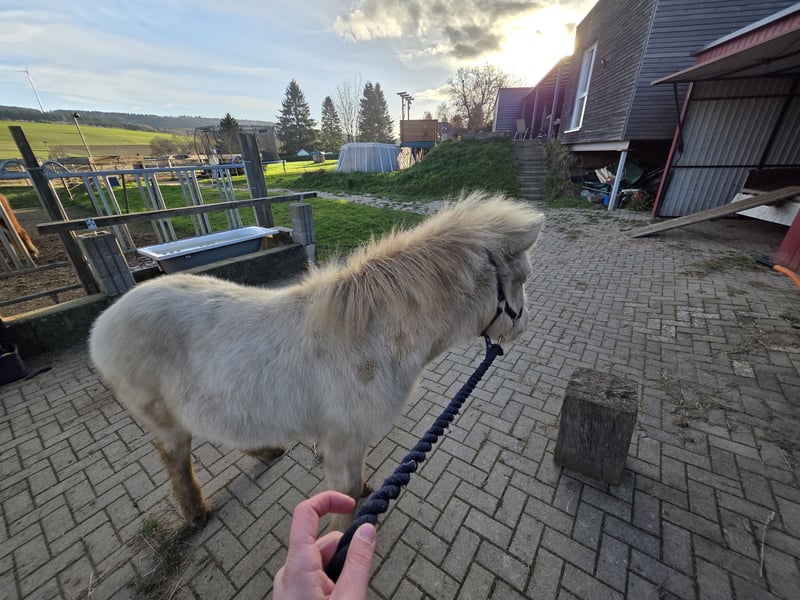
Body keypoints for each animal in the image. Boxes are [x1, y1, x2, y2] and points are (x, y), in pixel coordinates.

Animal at [89, 191, 545, 529]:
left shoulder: (352, 441)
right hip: (163, 420)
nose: (522, 329)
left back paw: (267, 452)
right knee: (176, 459)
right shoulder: (342, 443)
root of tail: (102, 327)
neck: (370, 341)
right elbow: (343, 503)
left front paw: (368, 493)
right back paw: (196, 513)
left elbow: (357, 485)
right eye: (521, 278)